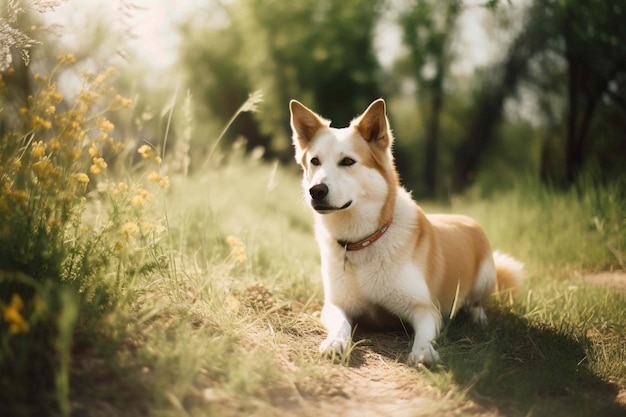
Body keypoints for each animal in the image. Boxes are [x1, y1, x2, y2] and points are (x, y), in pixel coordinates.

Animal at [288, 97, 520, 364]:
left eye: (347, 161)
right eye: (315, 161)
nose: (316, 191)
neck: (364, 240)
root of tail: (464, 218)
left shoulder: (426, 308)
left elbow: (425, 332)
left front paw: (424, 352)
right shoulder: (336, 304)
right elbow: (341, 324)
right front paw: (336, 341)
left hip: (485, 278)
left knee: (477, 302)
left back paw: (478, 316)